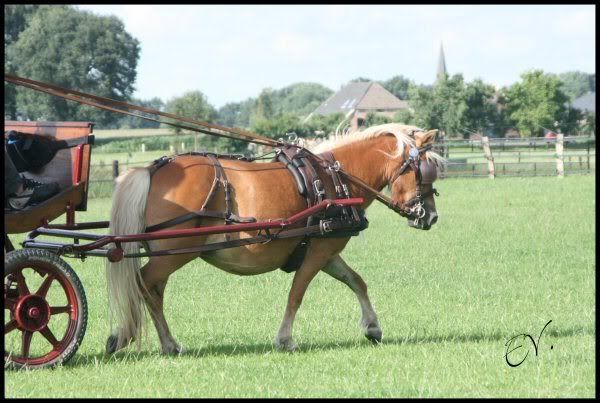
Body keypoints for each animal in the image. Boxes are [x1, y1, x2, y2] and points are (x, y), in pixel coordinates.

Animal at [105, 123, 444, 355]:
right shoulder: (319, 252)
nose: (429, 216)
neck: (336, 179)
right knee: (143, 284)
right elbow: (297, 294)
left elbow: (356, 281)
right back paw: (128, 336)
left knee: (153, 292)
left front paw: (373, 327)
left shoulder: (326, 249)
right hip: (176, 253)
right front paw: (285, 339)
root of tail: (152, 169)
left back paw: (166, 343)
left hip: (166, 255)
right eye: (424, 171)